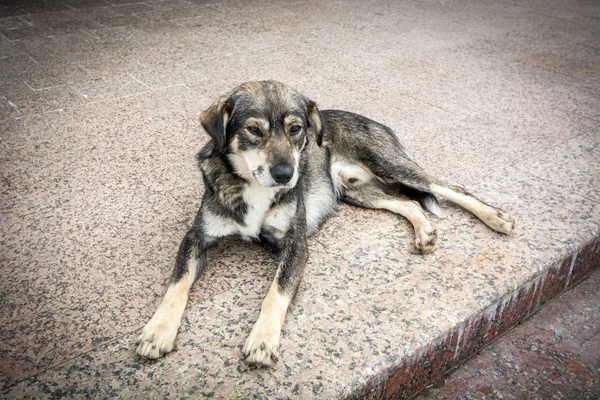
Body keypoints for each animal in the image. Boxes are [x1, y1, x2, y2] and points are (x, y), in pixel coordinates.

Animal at [137, 79, 516, 368]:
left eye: (295, 129)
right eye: (254, 130)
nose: (286, 174)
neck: (253, 186)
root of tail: (371, 119)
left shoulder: (295, 244)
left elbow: (275, 294)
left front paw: (263, 340)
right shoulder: (196, 237)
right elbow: (176, 285)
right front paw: (158, 330)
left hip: (390, 165)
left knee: (449, 188)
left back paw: (496, 217)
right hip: (356, 190)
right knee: (407, 202)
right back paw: (424, 232)